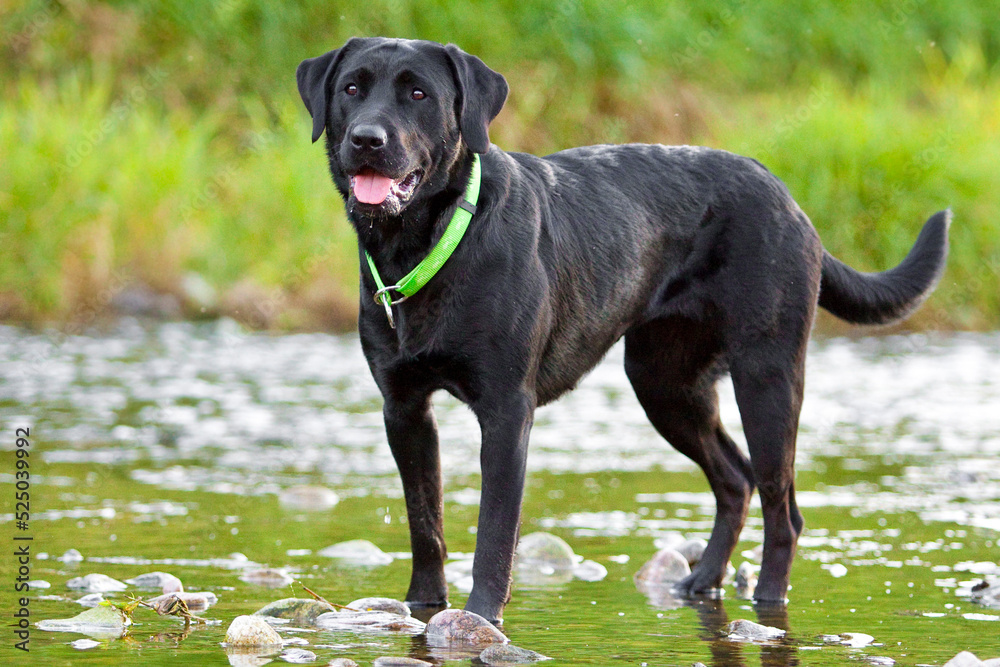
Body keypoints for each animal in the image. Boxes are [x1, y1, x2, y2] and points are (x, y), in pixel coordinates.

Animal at [294, 35, 944, 620]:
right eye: (351, 88)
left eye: (418, 94)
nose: (366, 139)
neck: (428, 241)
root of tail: (788, 197)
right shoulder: (404, 408)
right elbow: (424, 520)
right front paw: (423, 607)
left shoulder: (506, 412)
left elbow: (494, 531)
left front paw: (481, 618)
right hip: (665, 383)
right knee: (734, 480)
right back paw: (701, 581)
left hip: (768, 378)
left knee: (782, 506)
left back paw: (766, 601)